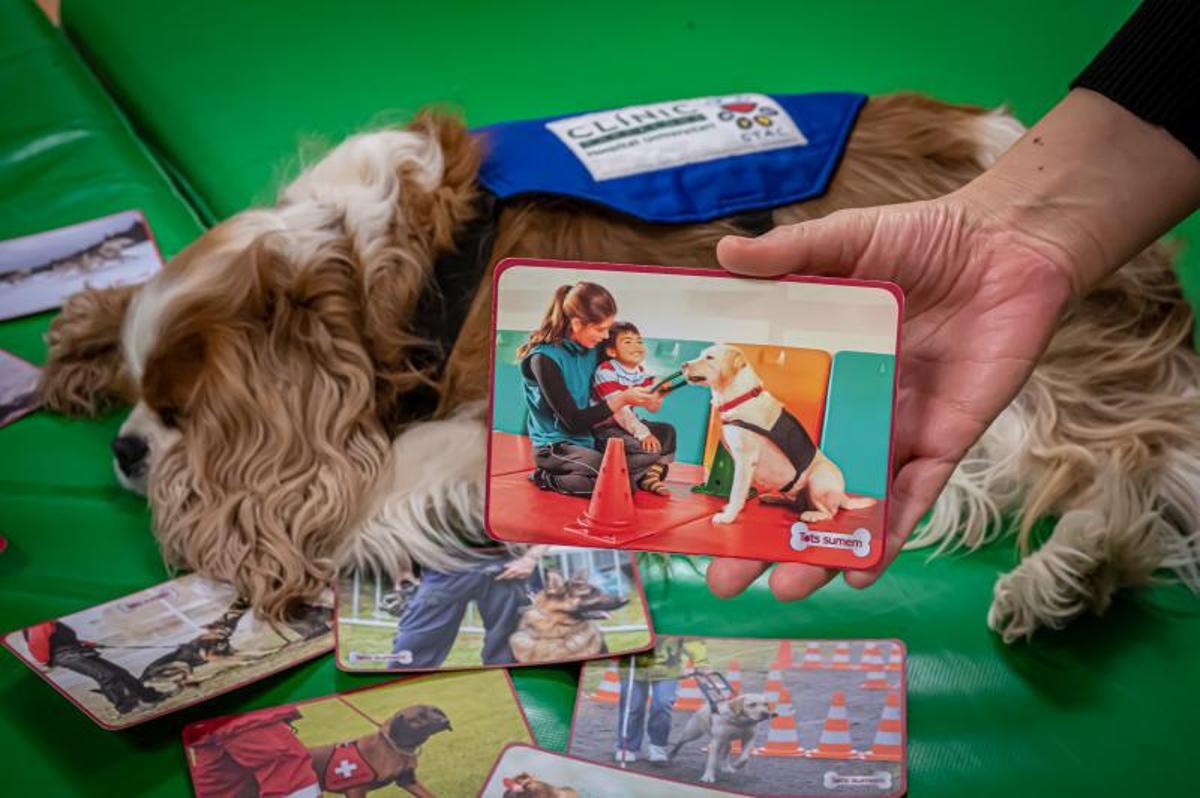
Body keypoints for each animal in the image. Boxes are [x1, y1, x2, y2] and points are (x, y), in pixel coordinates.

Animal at [686, 340, 873, 523]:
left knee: (830, 512)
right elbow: (741, 492)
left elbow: (737, 491)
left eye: (710, 357)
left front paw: (728, 516)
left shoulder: (745, 460)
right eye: (701, 355)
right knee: (797, 504)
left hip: (817, 481)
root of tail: (842, 496)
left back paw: (813, 515)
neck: (741, 397)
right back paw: (774, 498)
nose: (683, 365)